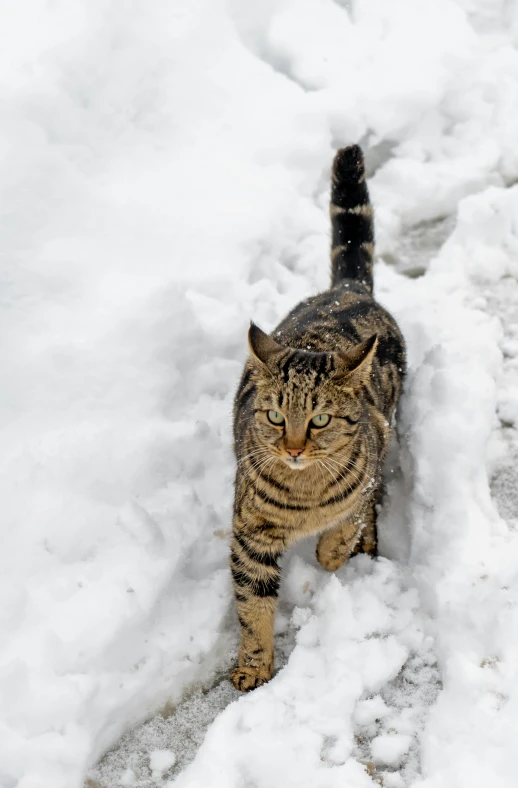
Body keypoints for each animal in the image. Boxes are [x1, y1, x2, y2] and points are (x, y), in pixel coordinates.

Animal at [231, 143, 406, 688]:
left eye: (321, 420)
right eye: (273, 415)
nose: (292, 447)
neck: (304, 496)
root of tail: (348, 288)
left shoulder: (367, 467)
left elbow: (347, 519)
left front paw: (332, 552)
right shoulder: (250, 529)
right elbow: (252, 603)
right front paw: (253, 664)